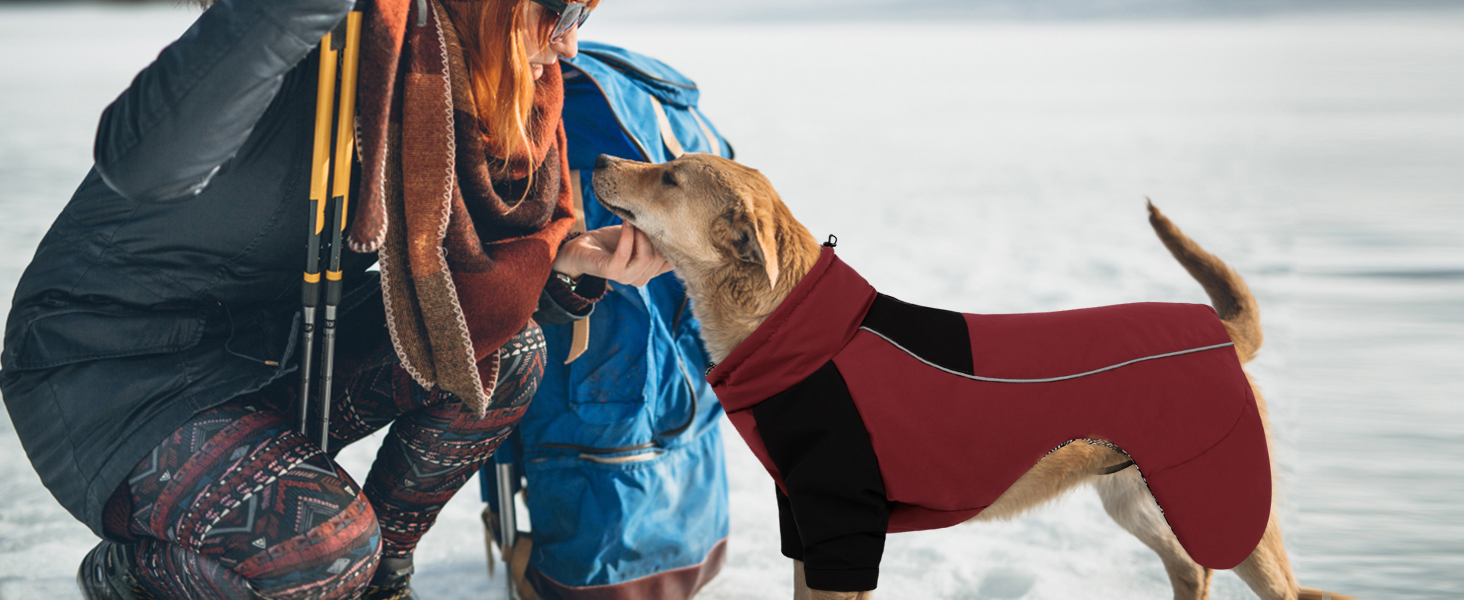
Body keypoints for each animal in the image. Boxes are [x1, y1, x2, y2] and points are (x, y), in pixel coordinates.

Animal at [585, 152, 1358, 600]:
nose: (596, 156)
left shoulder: (844, 530)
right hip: (1136, 498)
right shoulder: (805, 526)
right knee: (1191, 569)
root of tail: (1219, 331)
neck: (791, 323)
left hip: (1228, 505)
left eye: (670, 176)